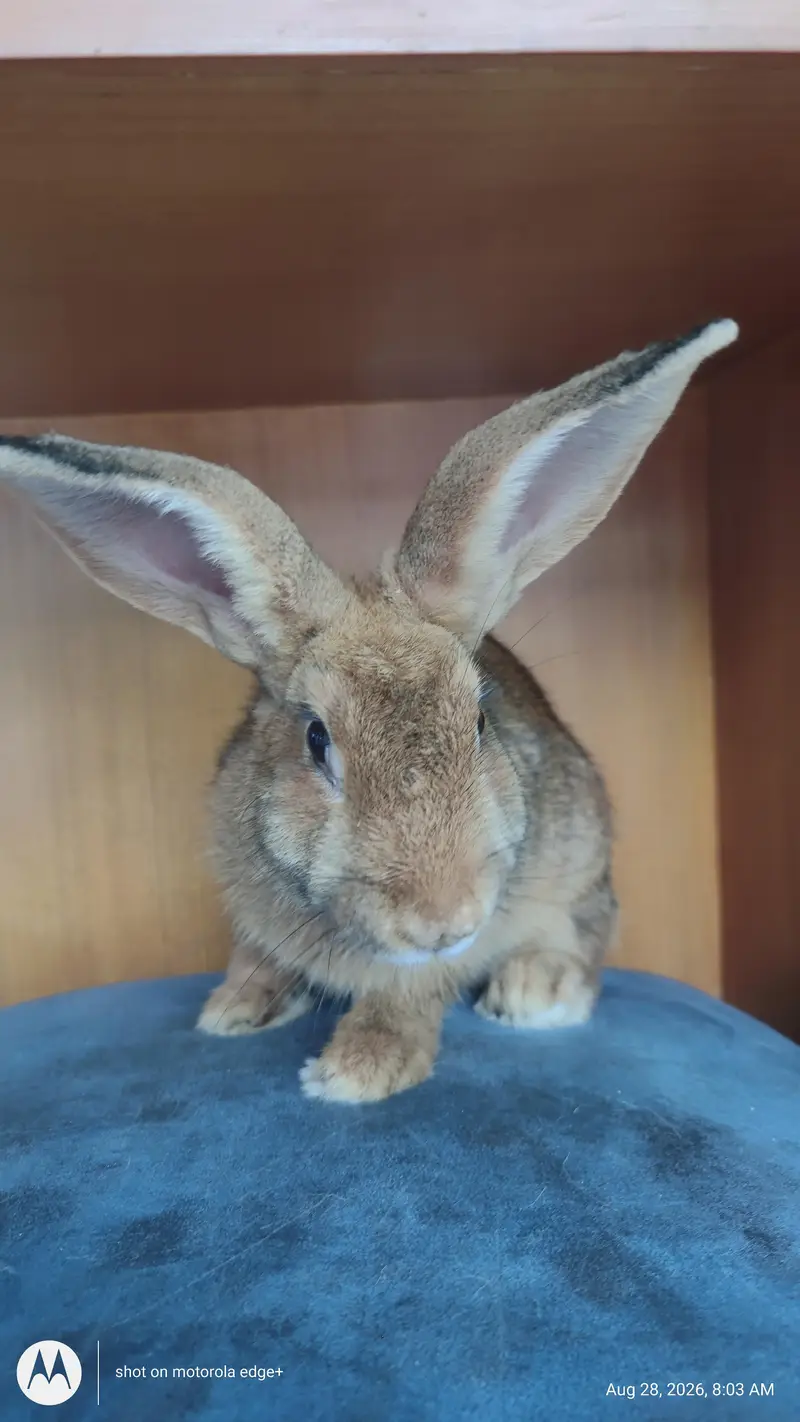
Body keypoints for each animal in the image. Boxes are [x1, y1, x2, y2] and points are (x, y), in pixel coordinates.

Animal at [0, 318, 737, 1102]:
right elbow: (257, 958)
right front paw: (235, 1009)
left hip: (580, 858)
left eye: (480, 721)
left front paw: (356, 1072)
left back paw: (537, 990)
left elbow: (406, 995)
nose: (443, 919)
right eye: (317, 739)